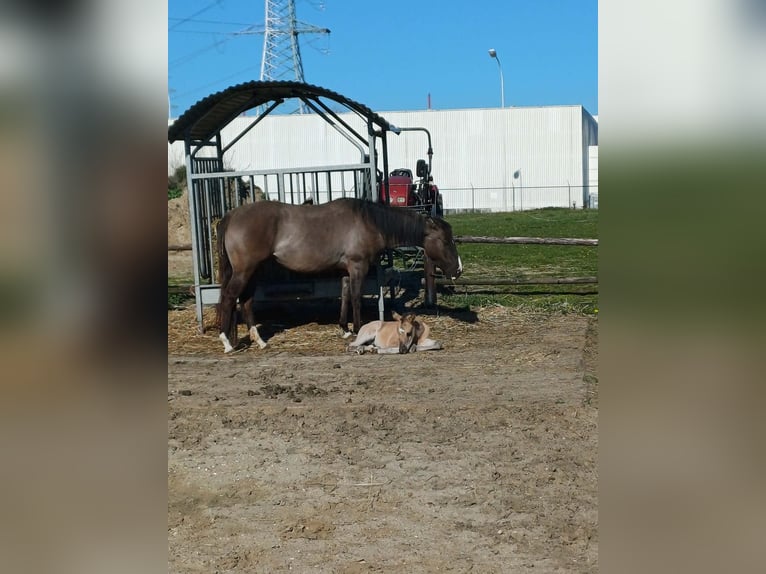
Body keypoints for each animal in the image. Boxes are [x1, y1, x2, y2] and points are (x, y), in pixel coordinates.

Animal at [216, 197, 462, 353]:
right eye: (444, 240)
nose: (458, 270)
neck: (369, 223)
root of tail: (231, 216)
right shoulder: (357, 267)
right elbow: (356, 297)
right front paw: (356, 328)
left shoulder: (345, 270)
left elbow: (345, 296)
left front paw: (344, 328)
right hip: (244, 271)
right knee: (229, 298)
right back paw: (226, 342)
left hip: (253, 271)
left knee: (246, 301)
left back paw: (260, 341)